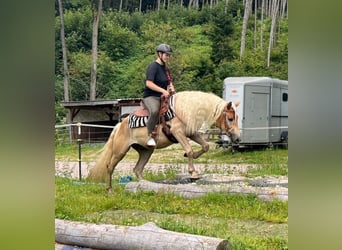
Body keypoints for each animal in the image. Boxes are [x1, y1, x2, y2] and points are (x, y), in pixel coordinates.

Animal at [88, 91, 240, 190]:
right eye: (230, 118)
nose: (238, 138)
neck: (184, 110)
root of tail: (121, 125)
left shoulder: (191, 133)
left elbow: (205, 146)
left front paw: (190, 161)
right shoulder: (178, 133)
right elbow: (190, 150)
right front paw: (193, 173)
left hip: (146, 151)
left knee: (137, 169)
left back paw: (144, 185)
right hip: (120, 151)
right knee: (110, 167)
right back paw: (110, 190)